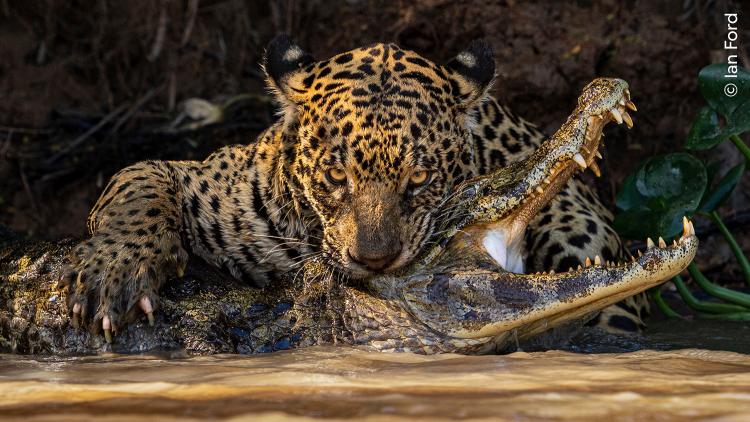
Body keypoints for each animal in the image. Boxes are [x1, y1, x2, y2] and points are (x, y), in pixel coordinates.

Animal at [64, 35, 647, 342]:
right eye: (336, 176)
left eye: (419, 178)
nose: (373, 261)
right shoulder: (199, 178)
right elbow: (140, 190)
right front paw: (114, 275)